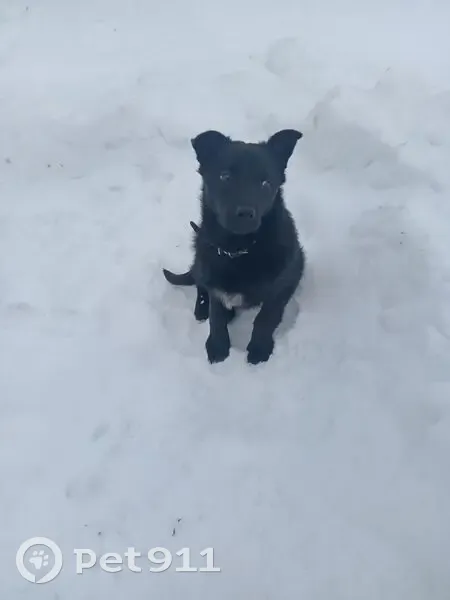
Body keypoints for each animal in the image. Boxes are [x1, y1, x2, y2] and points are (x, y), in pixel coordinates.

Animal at [163, 128, 305, 364]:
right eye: (225, 177)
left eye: (266, 183)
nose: (246, 213)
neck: (237, 251)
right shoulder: (215, 285)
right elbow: (216, 316)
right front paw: (218, 347)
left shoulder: (282, 286)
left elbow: (266, 317)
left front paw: (259, 348)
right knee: (200, 285)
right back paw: (202, 309)